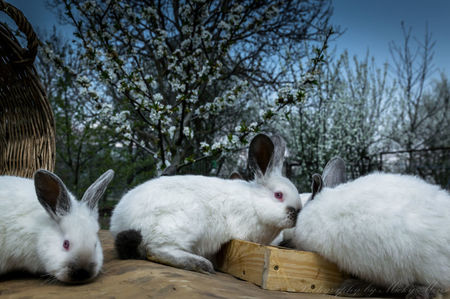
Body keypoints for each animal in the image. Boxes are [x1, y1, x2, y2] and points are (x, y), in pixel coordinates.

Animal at [109, 134, 300, 274]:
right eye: (278, 195)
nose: (296, 214)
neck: (253, 202)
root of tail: (120, 223)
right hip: (185, 223)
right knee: (156, 250)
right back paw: (201, 264)